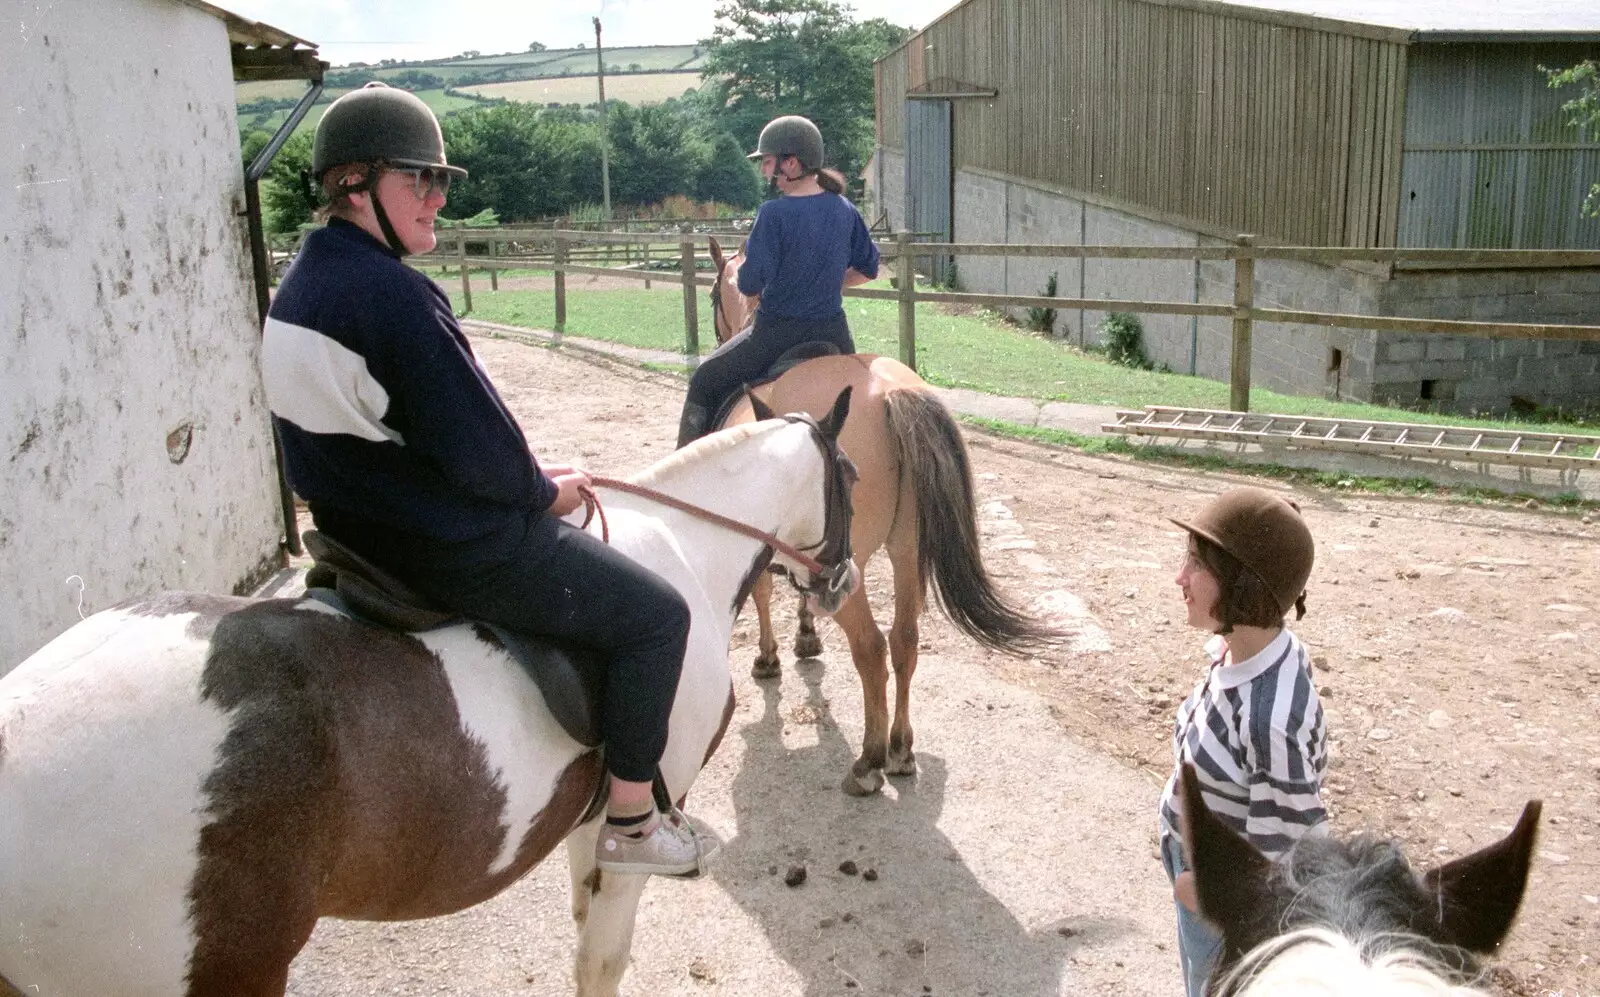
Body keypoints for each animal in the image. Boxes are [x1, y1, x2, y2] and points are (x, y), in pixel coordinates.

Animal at [0, 395, 864, 997]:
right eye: (851, 477)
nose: (842, 582)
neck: (684, 549)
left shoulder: (588, 823)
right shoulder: (640, 816)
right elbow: (602, 959)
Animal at [704, 235, 1056, 796]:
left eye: (715, 292)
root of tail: (892, 393)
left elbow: (760, 593)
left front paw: (768, 657)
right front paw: (805, 637)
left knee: (870, 648)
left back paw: (869, 761)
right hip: (905, 548)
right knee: (905, 641)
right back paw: (900, 749)